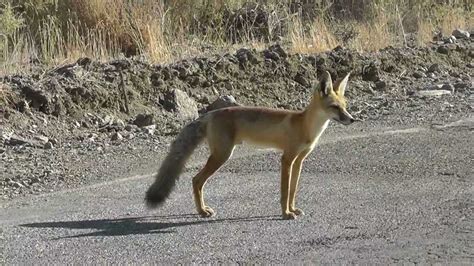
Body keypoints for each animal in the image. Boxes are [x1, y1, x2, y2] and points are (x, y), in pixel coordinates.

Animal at [146, 69, 354, 219]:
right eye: (335, 107)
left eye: (345, 106)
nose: (352, 119)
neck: (305, 126)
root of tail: (210, 114)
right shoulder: (286, 159)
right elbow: (284, 191)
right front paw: (285, 213)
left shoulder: (299, 160)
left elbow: (293, 190)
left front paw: (293, 209)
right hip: (222, 155)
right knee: (196, 180)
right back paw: (202, 211)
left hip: (220, 155)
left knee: (197, 181)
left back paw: (202, 210)